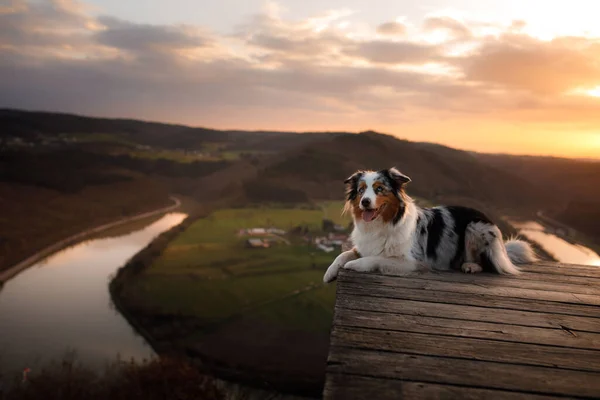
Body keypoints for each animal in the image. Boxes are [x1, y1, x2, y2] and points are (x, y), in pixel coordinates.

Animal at [324, 167, 540, 282]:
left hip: (475, 227)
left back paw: (470, 265)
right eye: (361, 190)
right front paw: (330, 273)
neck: (382, 224)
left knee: (487, 263)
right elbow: (343, 254)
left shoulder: (414, 261)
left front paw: (355, 264)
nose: (365, 202)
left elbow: (376, 258)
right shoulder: (365, 245)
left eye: (379, 189)